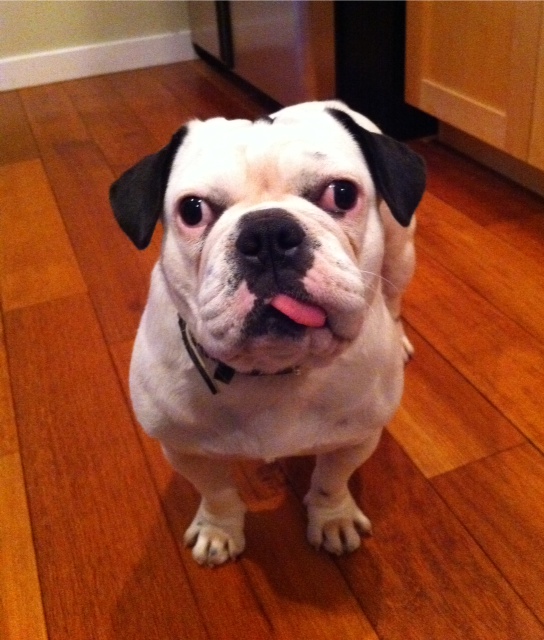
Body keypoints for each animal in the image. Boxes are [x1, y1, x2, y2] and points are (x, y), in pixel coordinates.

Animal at [109, 100, 424, 564]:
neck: (275, 368)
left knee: (395, 293)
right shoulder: (185, 448)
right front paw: (219, 530)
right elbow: (217, 491)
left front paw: (333, 519)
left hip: (402, 254)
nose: (268, 231)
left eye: (342, 194)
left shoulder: (356, 437)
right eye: (192, 210)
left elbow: (331, 480)